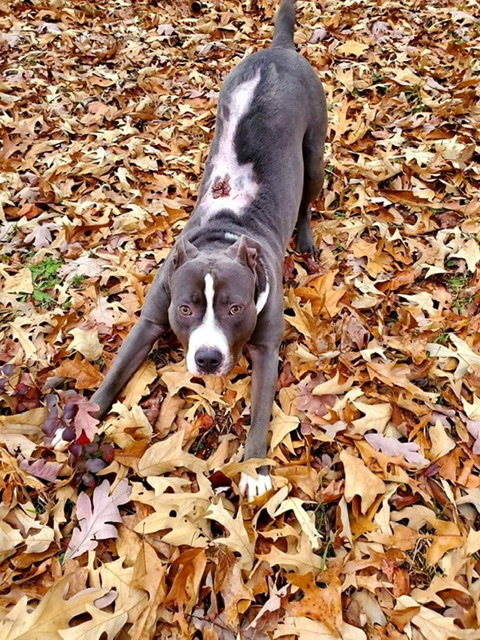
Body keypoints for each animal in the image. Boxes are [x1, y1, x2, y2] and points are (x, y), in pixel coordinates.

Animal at [91, 0, 326, 500]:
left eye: (236, 308)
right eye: (185, 309)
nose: (207, 359)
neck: (222, 237)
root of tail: (279, 50)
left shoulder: (266, 348)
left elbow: (260, 413)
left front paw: (254, 470)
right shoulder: (150, 320)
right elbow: (114, 374)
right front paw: (74, 424)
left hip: (314, 153)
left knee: (306, 201)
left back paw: (306, 240)